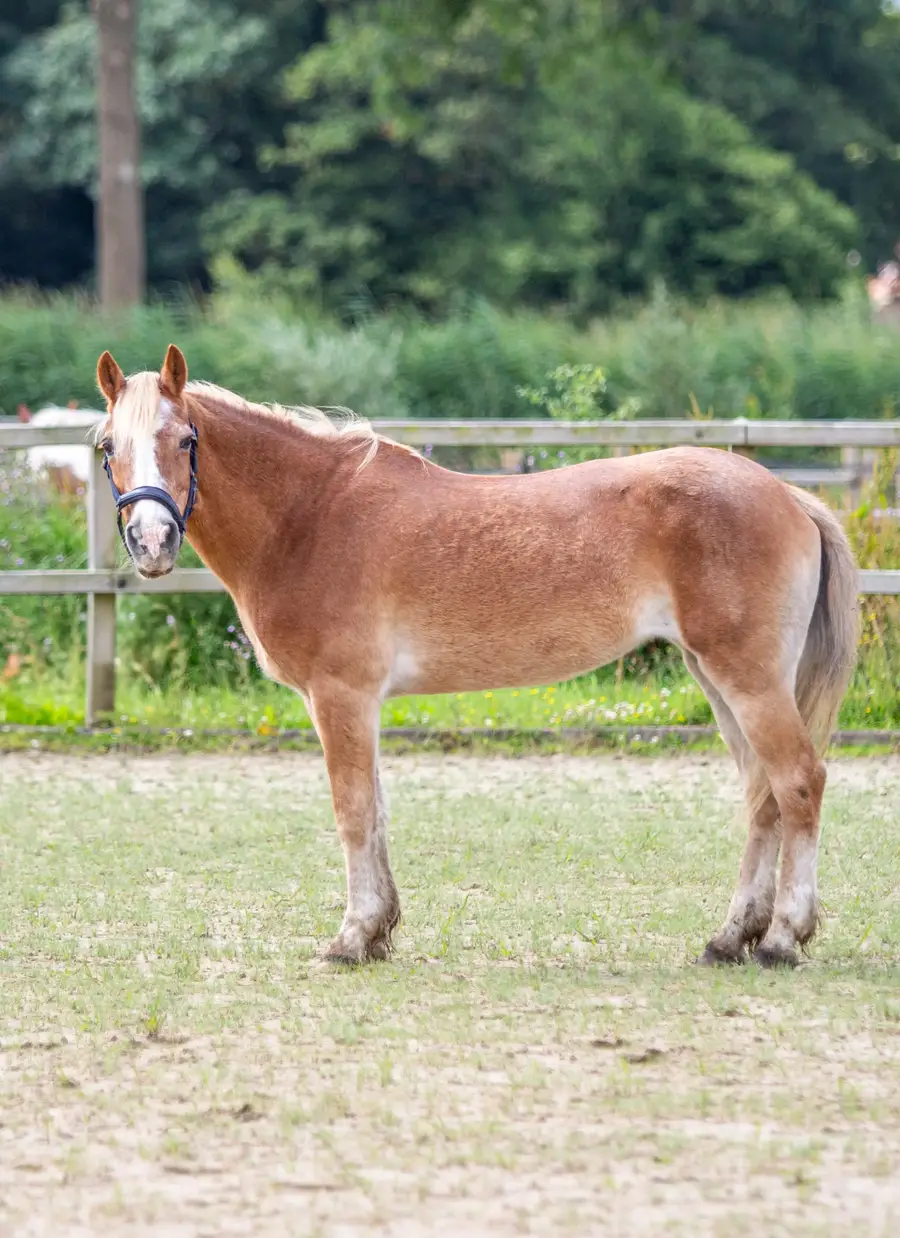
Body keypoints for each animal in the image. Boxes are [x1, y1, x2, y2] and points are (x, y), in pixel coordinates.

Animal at [95, 345, 859, 968]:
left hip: (749, 680)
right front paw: (380, 931)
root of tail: (787, 494)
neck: (310, 517)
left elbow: (352, 810)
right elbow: (377, 811)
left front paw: (352, 937)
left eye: (186, 438)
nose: (152, 541)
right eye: (107, 446)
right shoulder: (361, 703)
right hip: (719, 679)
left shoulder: (341, 696)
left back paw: (783, 939)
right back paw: (731, 938)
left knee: (797, 783)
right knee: (762, 796)